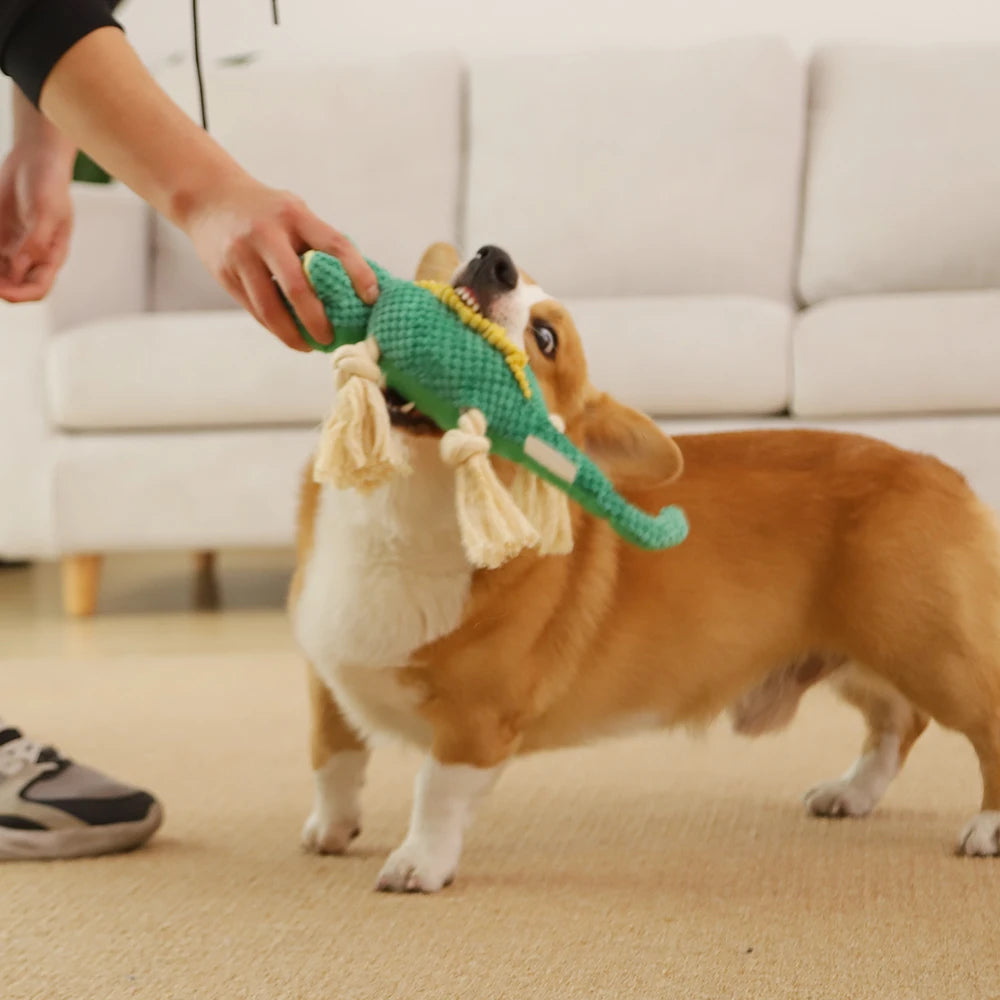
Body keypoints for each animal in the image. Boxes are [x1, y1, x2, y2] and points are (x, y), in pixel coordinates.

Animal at [290, 240, 1000, 892]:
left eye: (546, 338)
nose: (494, 260)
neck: (400, 510)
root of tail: (945, 473)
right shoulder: (327, 676)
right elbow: (332, 758)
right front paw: (330, 831)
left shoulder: (476, 720)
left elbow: (435, 793)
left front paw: (417, 864)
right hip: (856, 654)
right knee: (898, 722)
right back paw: (852, 792)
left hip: (926, 650)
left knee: (977, 720)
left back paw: (987, 828)